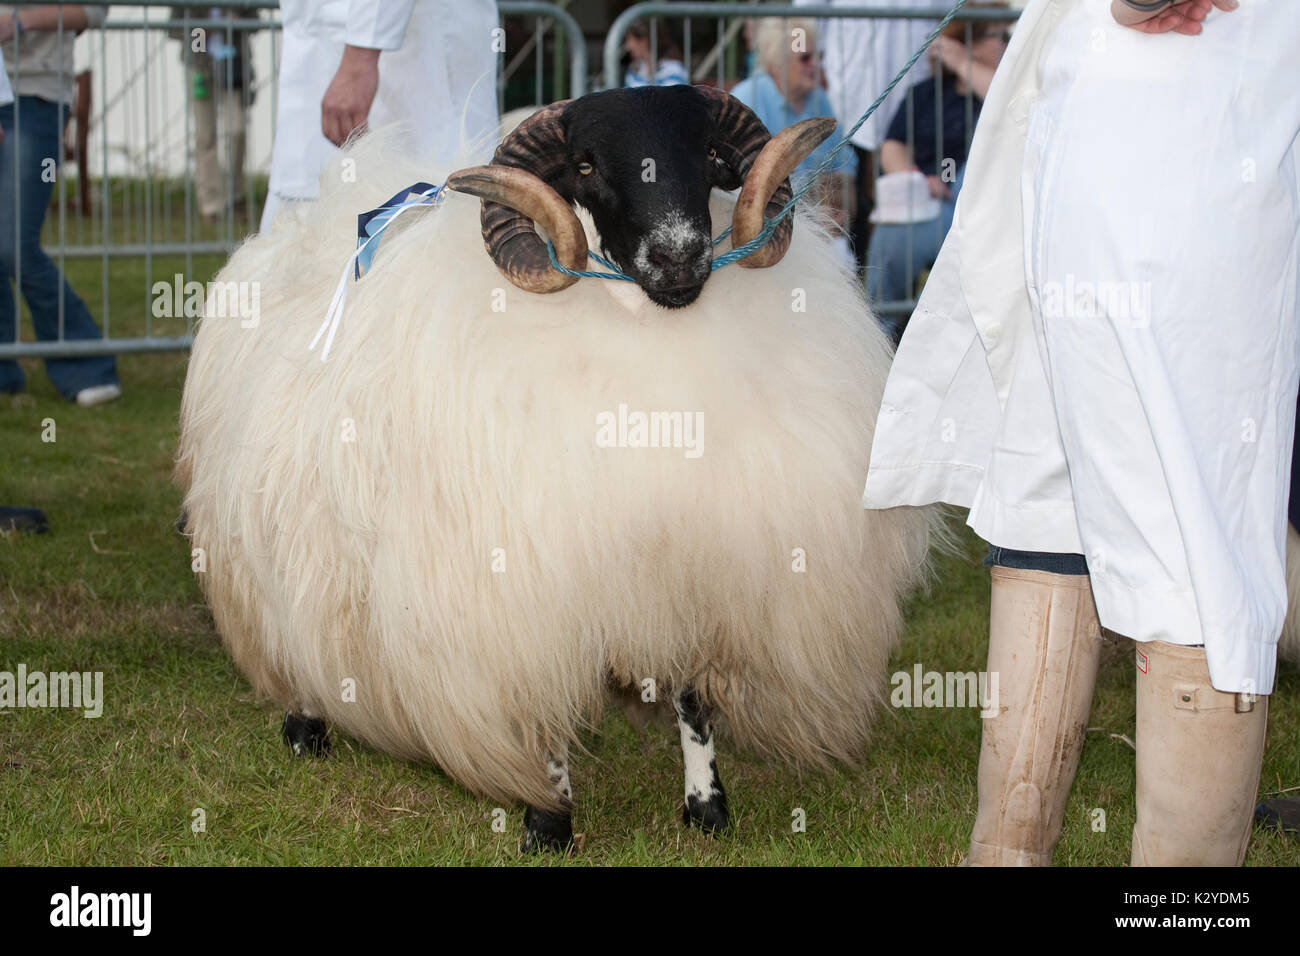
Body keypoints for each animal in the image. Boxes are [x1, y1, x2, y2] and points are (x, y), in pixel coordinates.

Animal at [176, 85, 936, 851]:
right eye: (586, 164)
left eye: (709, 152)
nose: (679, 258)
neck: (645, 334)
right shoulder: (526, 596)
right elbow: (537, 713)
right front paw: (549, 820)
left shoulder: (691, 570)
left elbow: (694, 701)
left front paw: (706, 809)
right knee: (289, 616)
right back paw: (306, 723)